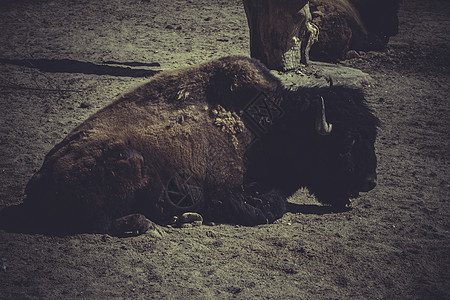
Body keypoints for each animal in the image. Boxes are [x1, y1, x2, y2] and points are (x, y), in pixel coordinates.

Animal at [2, 56, 380, 234]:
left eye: (372, 134)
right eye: (347, 142)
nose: (369, 181)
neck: (272, 126)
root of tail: (37, 182)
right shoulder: (226, 188)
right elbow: (270, 206)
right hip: (129, 160)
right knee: (103, 221)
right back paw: (154, 223)